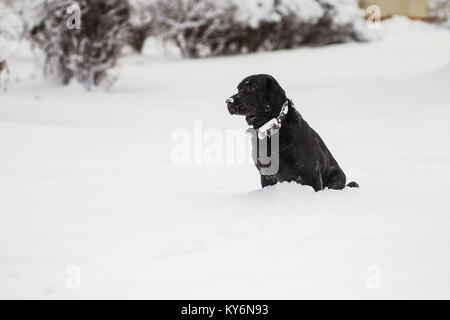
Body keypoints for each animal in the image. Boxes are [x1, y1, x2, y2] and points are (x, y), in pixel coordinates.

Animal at [227, 74, 356, 191]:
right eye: (238, 88)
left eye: (252, 88)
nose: (228, 101)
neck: (273, 130)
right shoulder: (266, 175)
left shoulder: (311, 173)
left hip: (337, 175)